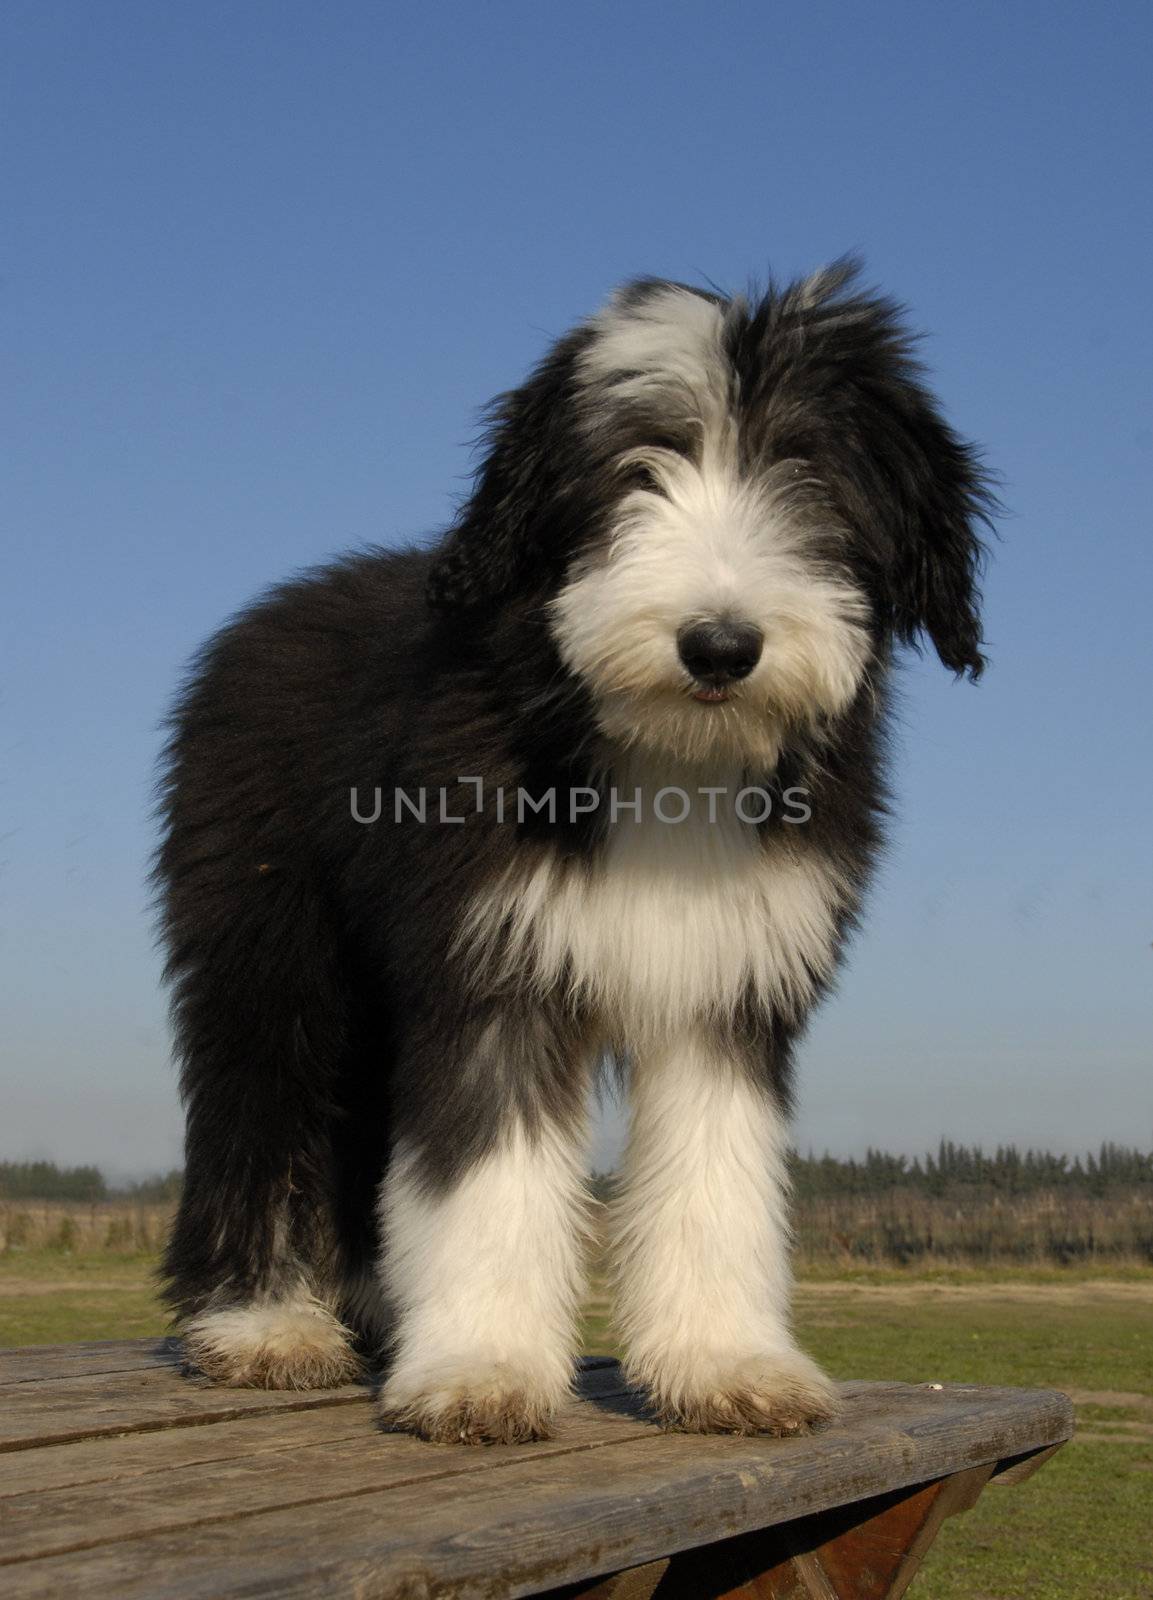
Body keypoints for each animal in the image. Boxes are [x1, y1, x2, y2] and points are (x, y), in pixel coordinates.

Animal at [157, 259, 991, 1440]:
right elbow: (488, 1175)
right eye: (636, 467)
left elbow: (715, 1178)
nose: (719, 645)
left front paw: (723, 1362)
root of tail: (276, 610)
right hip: (268, 937)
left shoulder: (726, 988)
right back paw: (262, 1324)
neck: (668, 760)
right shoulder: (493, 962)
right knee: (261, 1099)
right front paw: (482, 1367)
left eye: (811, 481)